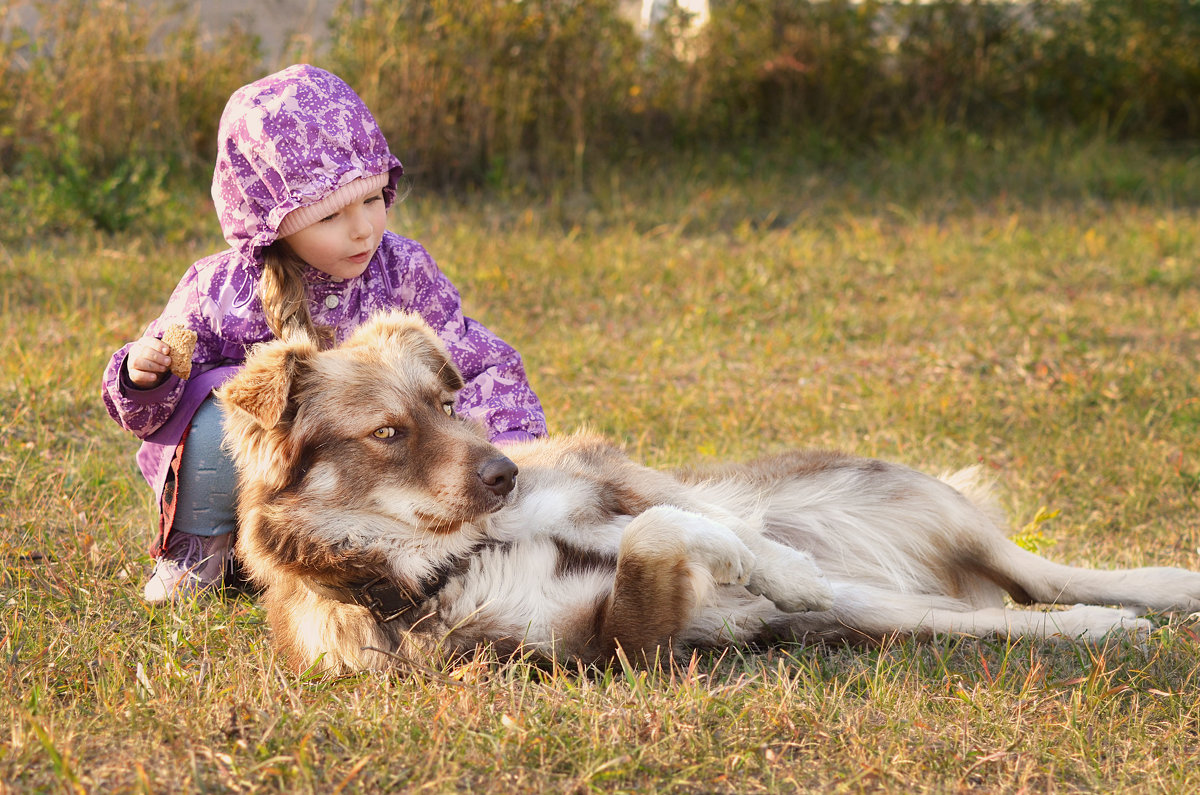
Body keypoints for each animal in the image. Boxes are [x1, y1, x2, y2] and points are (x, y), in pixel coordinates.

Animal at [218, 312, 1200, 672]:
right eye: (389, 432)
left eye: (448, 404)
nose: (504, 472)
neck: (454, 548)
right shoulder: (615, 642)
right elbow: (658, 536)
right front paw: (770, 575)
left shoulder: (604, 475)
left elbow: (676, 514)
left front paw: (778, 566)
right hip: (903, 612)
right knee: (1004, 614)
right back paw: (1100, 629)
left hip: (913, 503)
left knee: (1041, 572)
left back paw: (1159, 590)